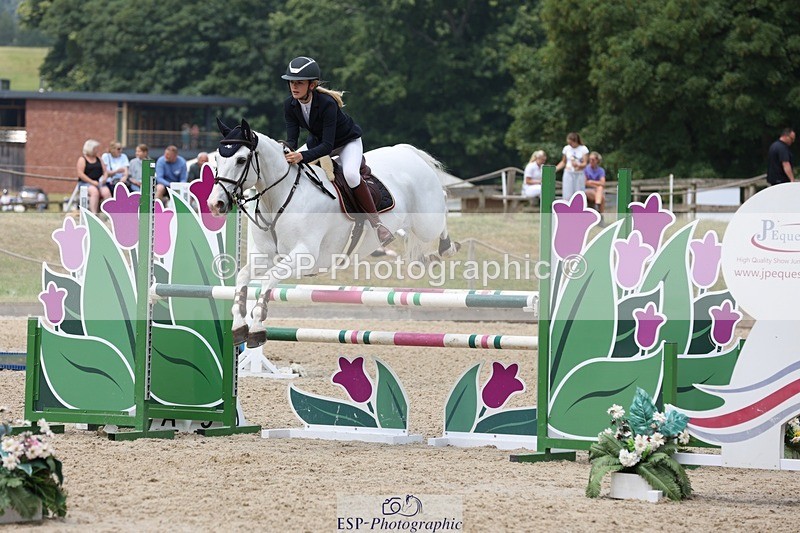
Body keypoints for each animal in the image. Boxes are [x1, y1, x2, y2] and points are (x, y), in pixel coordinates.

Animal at [208, 118, 459, 348]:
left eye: (241, 160)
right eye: (217, 159)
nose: (215, 204)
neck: (280, 197)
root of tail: (407, 152)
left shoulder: (304, 256)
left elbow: (270, 279)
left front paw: (257, 328)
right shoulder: (265, 256)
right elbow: (243, 277)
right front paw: (239, 327)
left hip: (427, 221)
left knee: (443, 204)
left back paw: (447, 247)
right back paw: (424, 257)